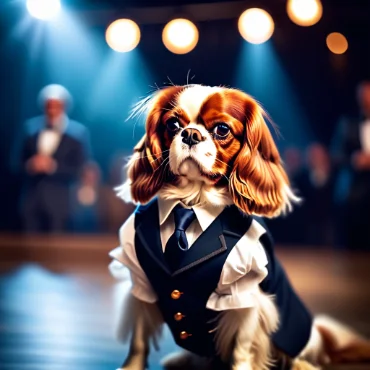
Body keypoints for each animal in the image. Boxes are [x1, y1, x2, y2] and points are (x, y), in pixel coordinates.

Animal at [109, 85, 370, 368]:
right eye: (173, 124)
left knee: (295, 353)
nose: (190, 134)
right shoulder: (141, 281)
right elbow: (139, 337)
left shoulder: (243, 293)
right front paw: (131, 366)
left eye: (222, 129)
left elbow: (242, 347)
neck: (191, 202)